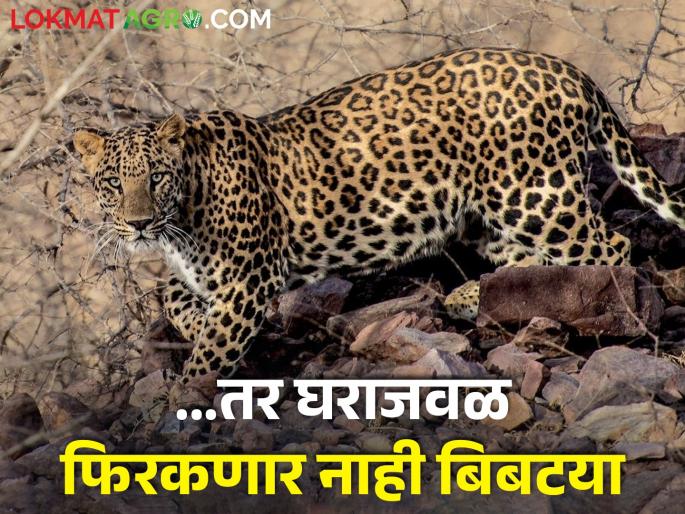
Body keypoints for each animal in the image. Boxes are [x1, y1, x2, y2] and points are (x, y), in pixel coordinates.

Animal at [73, 47, 685, 381]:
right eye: (113, 183)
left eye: (156, 178)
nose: (137, 224)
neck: (186, 206)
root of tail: (569, 70)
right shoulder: (208, 273)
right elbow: (172, 296)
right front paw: (195, 322)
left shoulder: (250, 278)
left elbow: (210, 355)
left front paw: (183, 396)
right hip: (486, 216)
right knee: (522, 257)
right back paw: (470, 296)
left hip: (535, 195)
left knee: (609, 250)